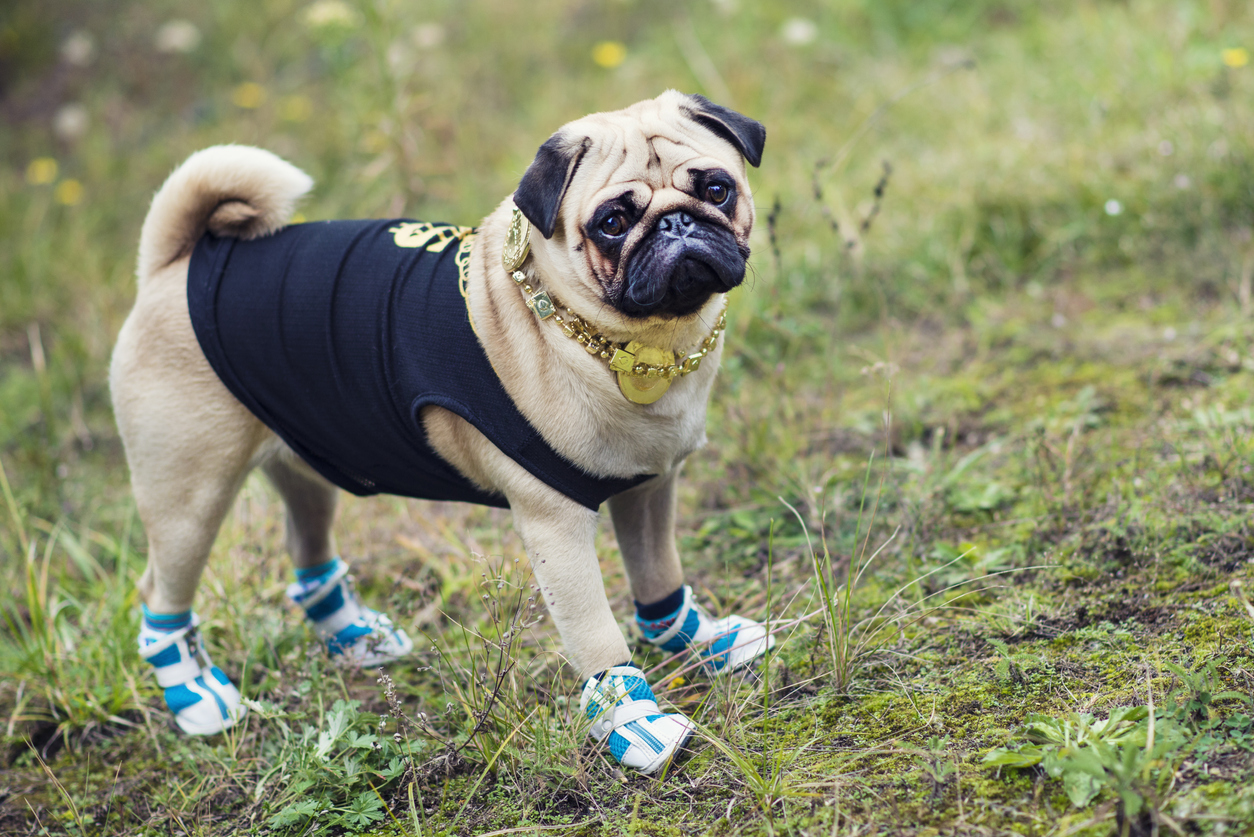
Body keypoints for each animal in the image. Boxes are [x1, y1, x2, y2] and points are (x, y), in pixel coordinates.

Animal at [112, 88, 767, 778]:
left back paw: (356, 638)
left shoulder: (648, 491)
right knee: (161, 593)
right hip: (189, 496)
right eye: (613, 223)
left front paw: (700, 640)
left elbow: (659, 577)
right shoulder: (557, 529)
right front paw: (632, 720)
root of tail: (177, 265)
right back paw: (195, 694)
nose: (677, 224)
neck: (637, 348)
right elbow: (597, 638)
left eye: (717, 190)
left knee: (306, 548)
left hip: (308, 460)